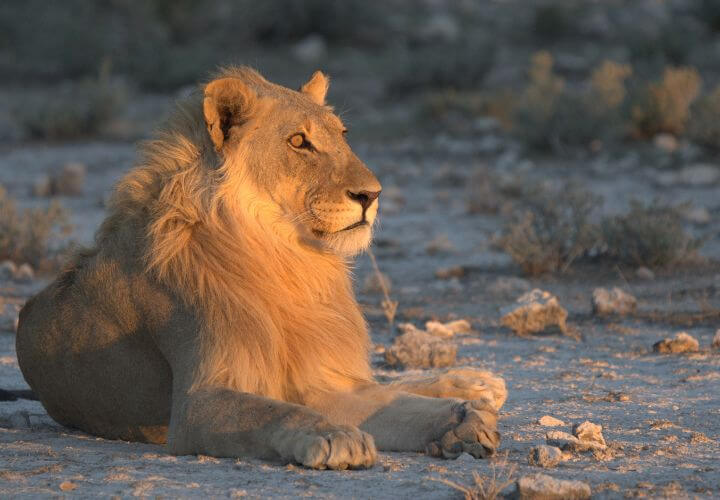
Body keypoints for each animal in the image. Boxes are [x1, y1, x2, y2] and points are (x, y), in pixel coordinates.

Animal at [16, 67, 507, 470]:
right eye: (298, 142)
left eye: (343, 134)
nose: (372, 194)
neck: (285, 261)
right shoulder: (195, 405)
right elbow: (278, 410)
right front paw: (335, 435)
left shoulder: (315, 377)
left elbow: (394, 405)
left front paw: (460, 423)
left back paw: (474, 386)